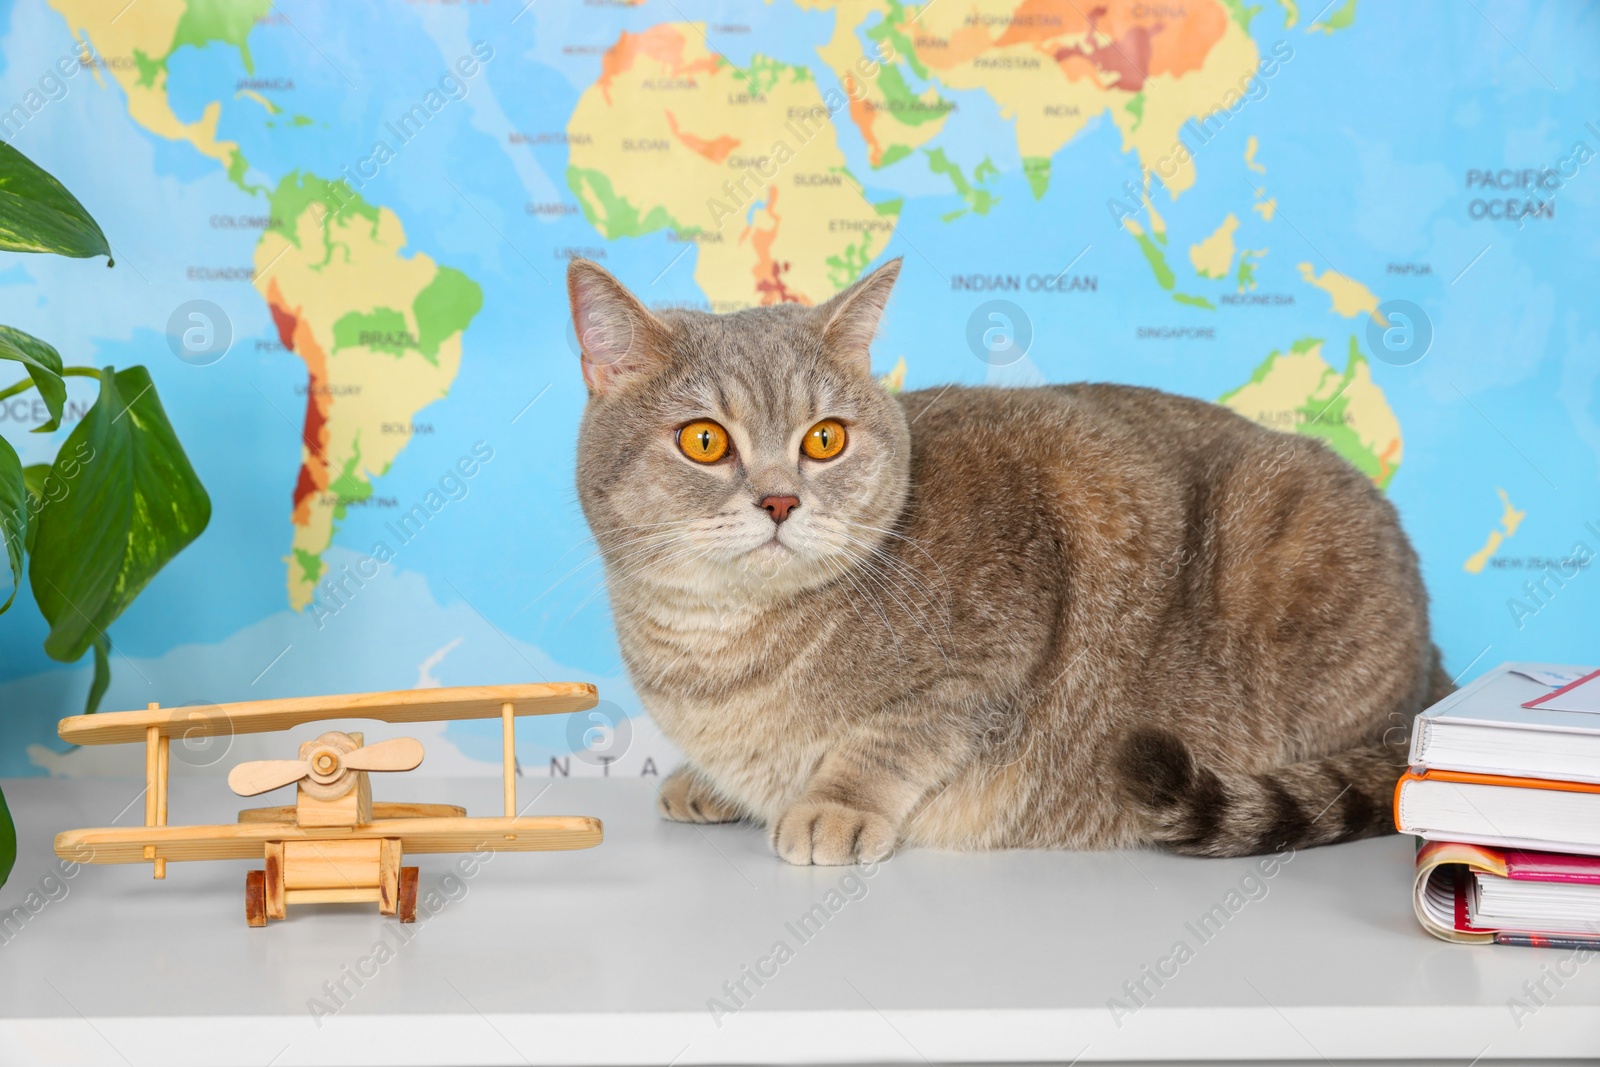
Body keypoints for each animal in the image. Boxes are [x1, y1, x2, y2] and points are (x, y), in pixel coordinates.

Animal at [569, 255, 1446, 870]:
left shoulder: (994, 649)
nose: (781, 501)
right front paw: (711, 782)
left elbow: (891, 736)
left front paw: (835, 802)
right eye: (704, 439)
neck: (718, 645)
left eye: (824, 438)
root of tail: (1433, 671)